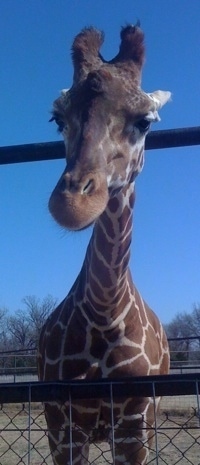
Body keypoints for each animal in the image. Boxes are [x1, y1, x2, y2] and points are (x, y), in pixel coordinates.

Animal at [38, 24, 171, 464]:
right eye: (57, 119)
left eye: (145, 122)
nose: (73, 205)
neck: (104, 309)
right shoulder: (63, 427)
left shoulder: (133, 428)